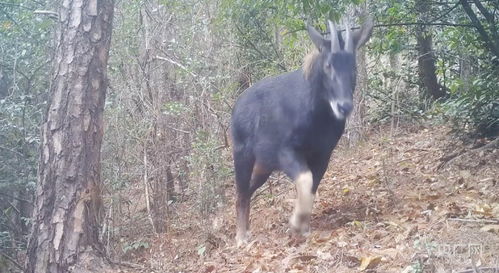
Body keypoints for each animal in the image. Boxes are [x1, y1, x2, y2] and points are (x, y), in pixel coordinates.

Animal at [232, 18, 374, 244]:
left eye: (353, 66)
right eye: (328, 64)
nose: (344, 106)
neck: (316, 116)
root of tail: (236, 106)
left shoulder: (323, 155)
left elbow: (312, 187)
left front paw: (304, 227)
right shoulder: (285, 152)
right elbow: (306, 180)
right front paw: (296, 222)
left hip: (264, 166)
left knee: (249, 190)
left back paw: (246, 231)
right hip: (242, 154)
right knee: (241, 192)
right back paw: (240, 237)